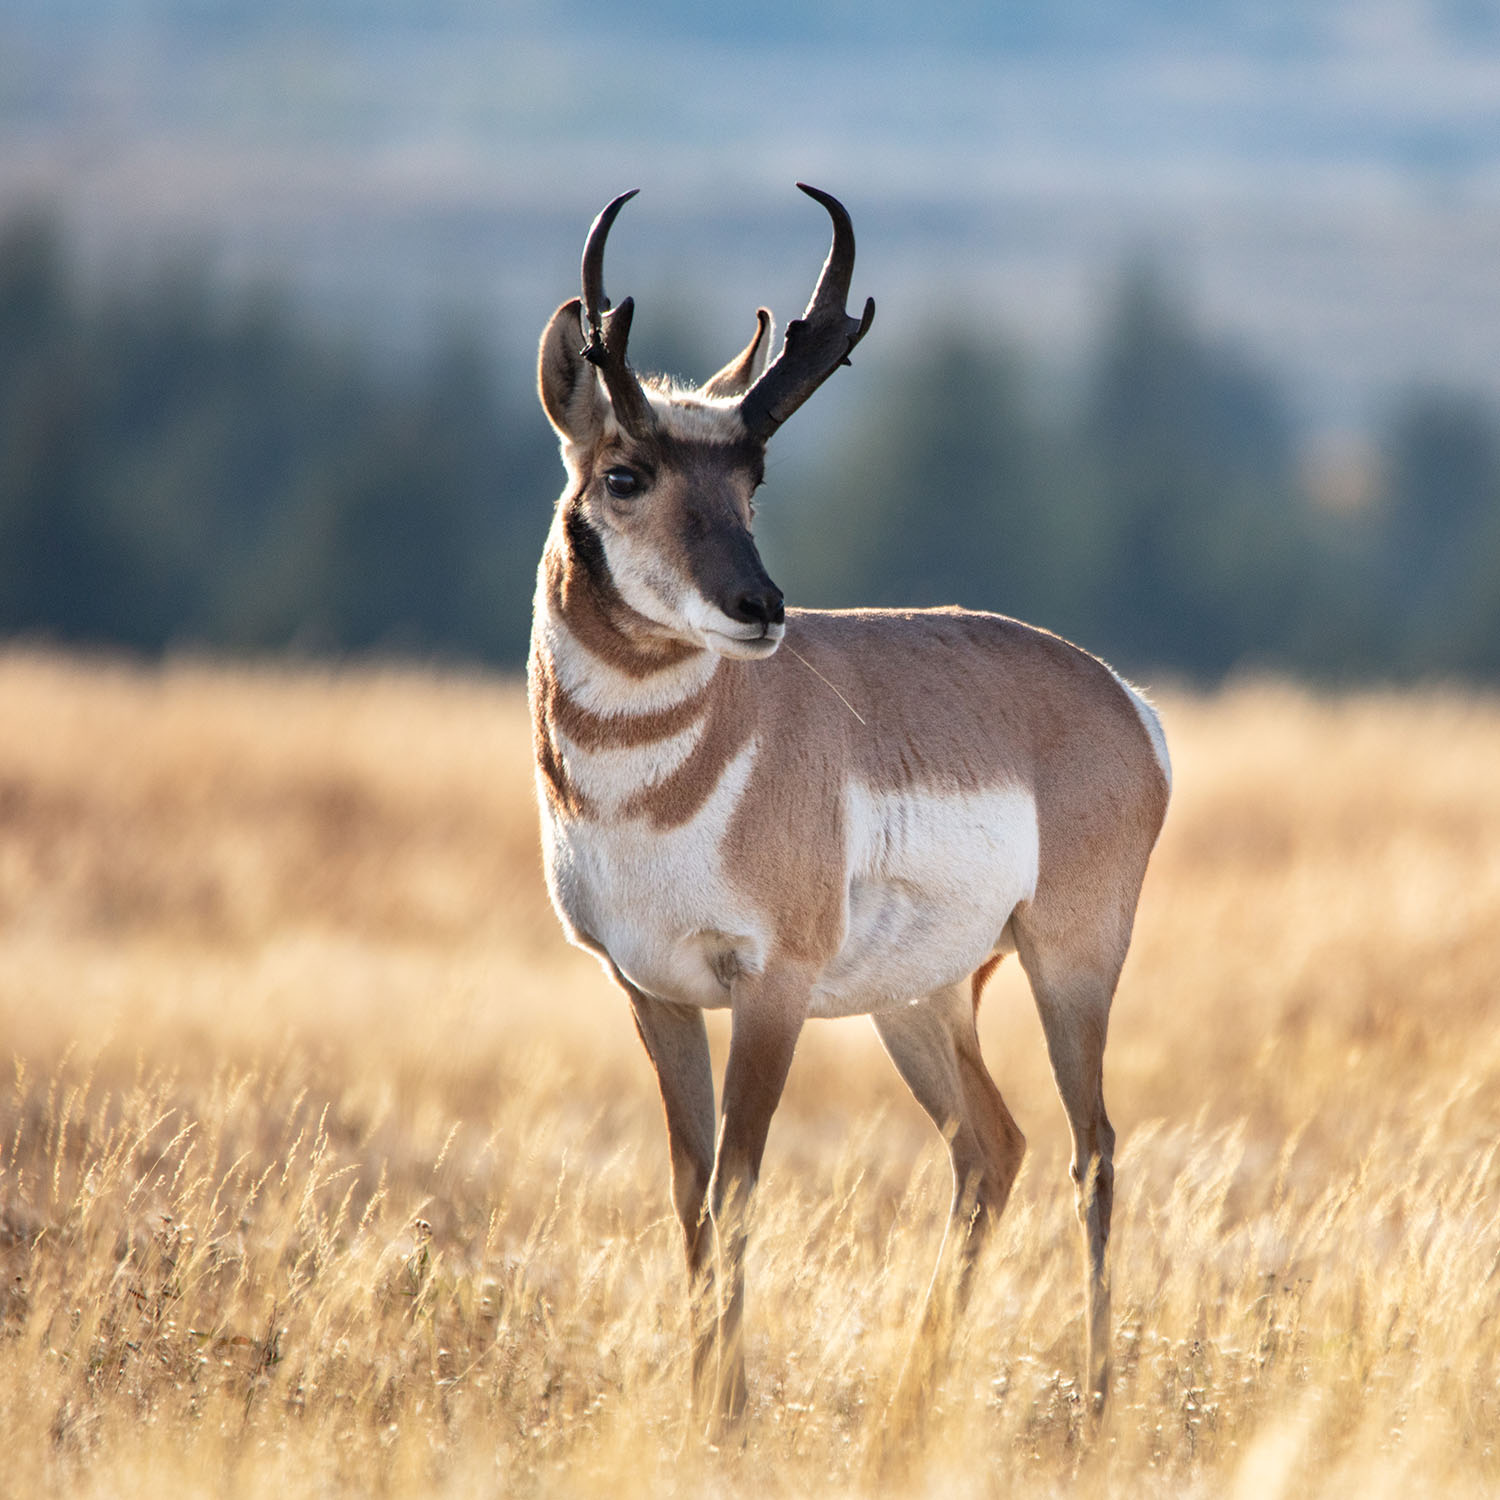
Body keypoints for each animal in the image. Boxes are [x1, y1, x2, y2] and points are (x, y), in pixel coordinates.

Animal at [528, 181, 1170, 1422]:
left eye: (754, 479)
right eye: (625, 474)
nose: (761, 606)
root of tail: (1120, 694)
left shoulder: (769, 988)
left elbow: (736, 1189)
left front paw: (727, 1413)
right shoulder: (651, 991)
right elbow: (687, 1194)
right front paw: (701, 1400)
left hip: (1067, 963)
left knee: (1094, 1149)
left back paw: (1097, 1402)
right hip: (920, 998)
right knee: (993, 1147)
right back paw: (913, 1401)